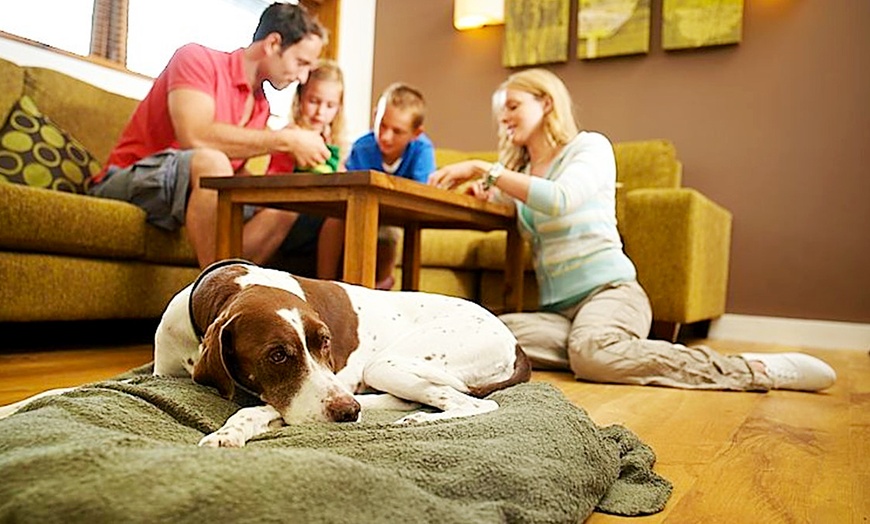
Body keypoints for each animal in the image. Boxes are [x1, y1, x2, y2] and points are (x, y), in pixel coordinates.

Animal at [151, 260, 532, 446]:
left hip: (386, 365)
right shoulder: (161, 373)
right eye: (277, 355)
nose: (349, 412)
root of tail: (513, 340)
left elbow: (255, 410)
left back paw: (417, 419)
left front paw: (227, 434)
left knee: (477, 403)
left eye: (325, 341)